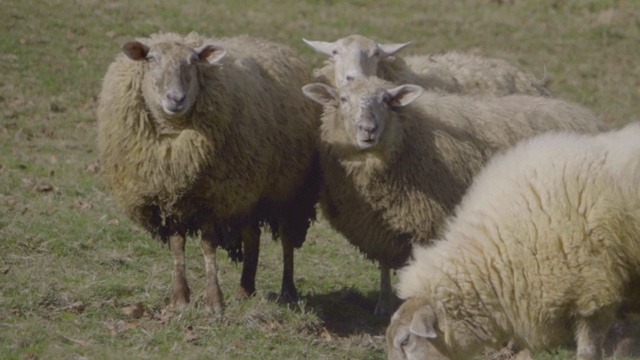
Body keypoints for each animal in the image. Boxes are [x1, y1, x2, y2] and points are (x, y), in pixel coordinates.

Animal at [97, 32, 322, 314]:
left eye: (193, 61)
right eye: (151, 59)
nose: (176, 99)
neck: (174, 138)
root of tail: (272, 43)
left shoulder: (212, 197)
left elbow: (207, 245)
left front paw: (214, 301)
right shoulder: (171, 197)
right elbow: (177, 245)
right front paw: (180, 299)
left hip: (288, 190)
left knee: (286, 238)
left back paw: (287, 292)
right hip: (248, 190)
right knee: (252, 235)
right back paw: (245, 289)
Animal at [302, 76, 608, 316]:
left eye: (387, 100)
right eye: (343, 99)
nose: (368, 130)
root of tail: (588, 115)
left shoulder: (428, 220)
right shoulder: (377, 227)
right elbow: (385, 266)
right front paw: (383, 304)